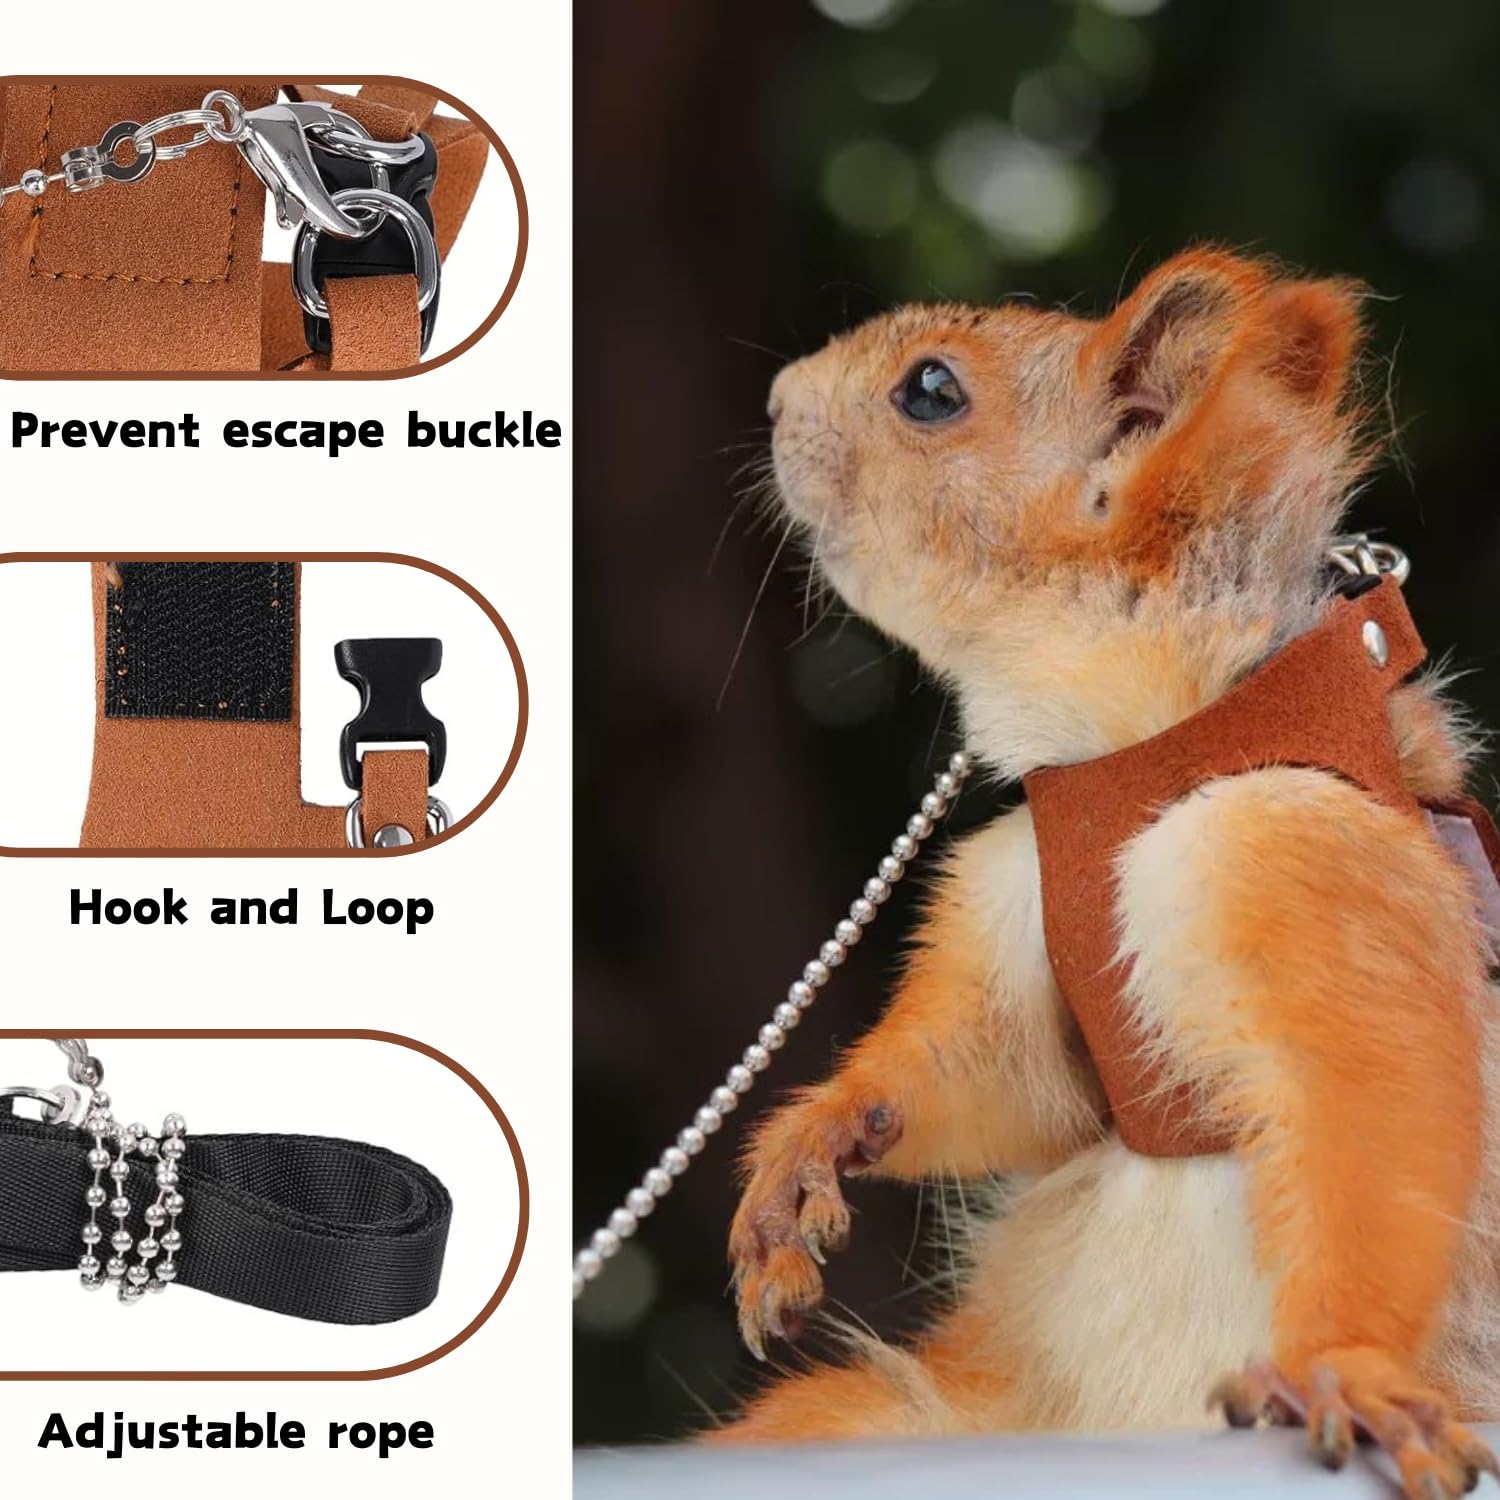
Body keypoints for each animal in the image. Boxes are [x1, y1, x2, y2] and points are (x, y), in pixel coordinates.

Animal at [713, 248, 1500, 1500]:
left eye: (930, 390)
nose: (780, 399)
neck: (1131, 757)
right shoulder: (1011, 914)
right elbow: (992, 1076)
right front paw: (813, 1140)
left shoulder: (1305, 865)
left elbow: (1376, 1118)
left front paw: (1351, 1374)